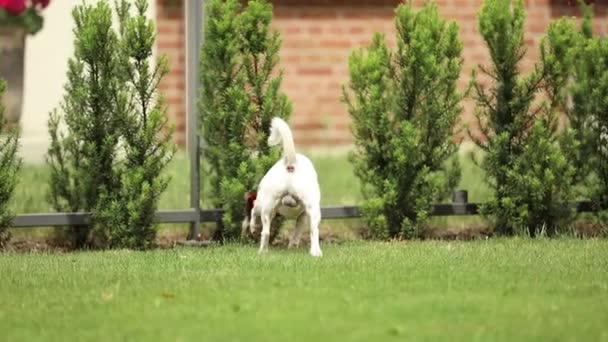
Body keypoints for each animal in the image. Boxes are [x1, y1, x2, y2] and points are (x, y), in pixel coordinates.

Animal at [246, 117, 324, 256]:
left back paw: (261, 247)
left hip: (265, 205)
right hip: (313, 209)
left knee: (261, 223)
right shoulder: (303, 217)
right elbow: (297, 232)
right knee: (314, 230)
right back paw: (315, 253)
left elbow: (253, 210)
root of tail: (291, 164)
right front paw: (293, 245)